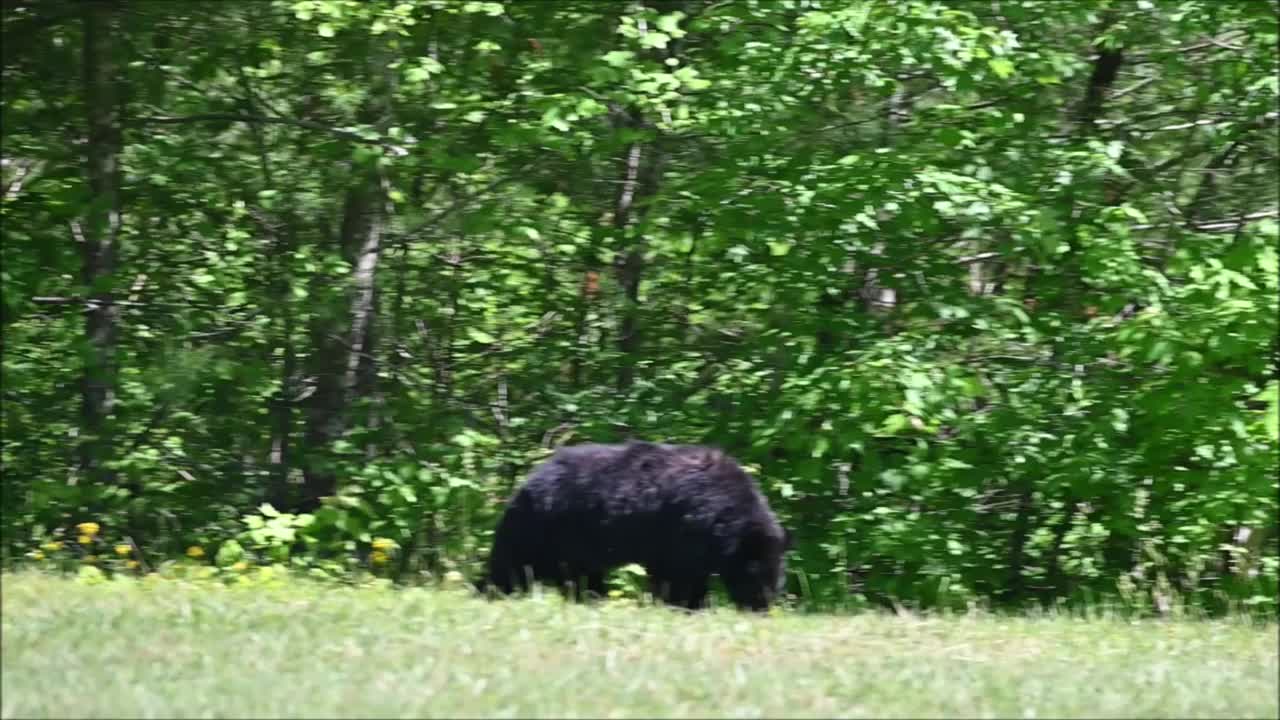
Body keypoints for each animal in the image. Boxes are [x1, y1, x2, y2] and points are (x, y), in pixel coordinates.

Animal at [481, 438, 788, 609]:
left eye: (777, 579)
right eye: (758, 577)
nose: (762, 608)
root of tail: (526, 483)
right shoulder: (682, 530)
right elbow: (677, 576)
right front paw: (684, 605)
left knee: (579, 576)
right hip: (547, 529)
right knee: (514, 564)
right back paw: (493, 590)